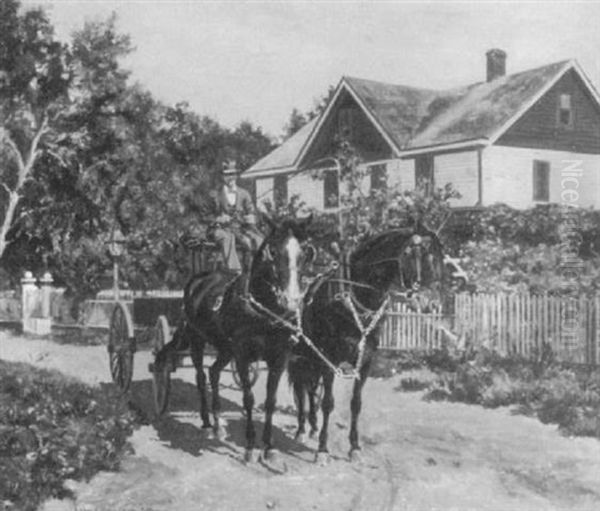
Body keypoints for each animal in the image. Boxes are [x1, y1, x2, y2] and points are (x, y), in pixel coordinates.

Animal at [157, 214, 314, 462]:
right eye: (272, 251)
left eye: (306, 252)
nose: (289, 301)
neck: (264, 310)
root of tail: (199, 278)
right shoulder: (241, 354)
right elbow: (248, 398)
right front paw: (250, 446)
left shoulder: (279, 358)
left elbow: (270, 401)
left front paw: (269, 447)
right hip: (197, 340)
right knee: (201, 376)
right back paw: (206, 422)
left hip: (224, 347)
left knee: (213, 372)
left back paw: (218, 424)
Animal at [290, 226, 446, 462]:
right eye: (416, 255)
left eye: (439, 258)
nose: (433, 303)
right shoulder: (329, 359)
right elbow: (328, 403)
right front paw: (323, 449)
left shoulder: (365, 362)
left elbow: (355, 404)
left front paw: (354, 447)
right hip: (300, 358)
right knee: (301, 390)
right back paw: (300, 430)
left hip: (312, 360)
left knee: (310, 389)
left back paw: (313, 427)